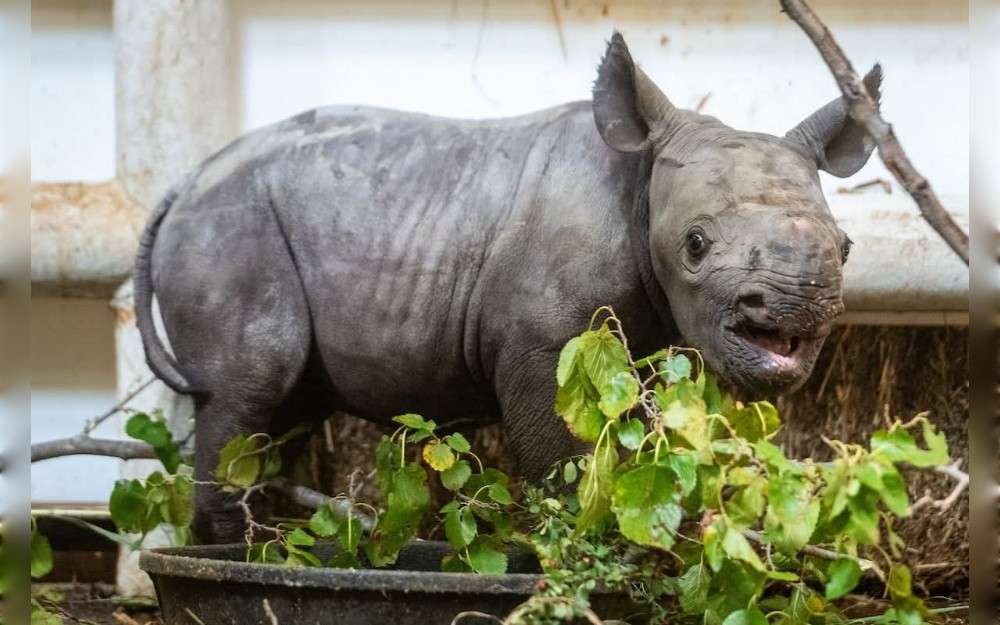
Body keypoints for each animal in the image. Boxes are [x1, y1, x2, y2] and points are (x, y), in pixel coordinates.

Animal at [135, 33, 880, 543]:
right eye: (695, 245)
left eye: (846, 249)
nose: (796, 306)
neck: (640, 185)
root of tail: (185, 182)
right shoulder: (537, 344)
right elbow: (559, 457)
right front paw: (571, 548)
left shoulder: (631, 349)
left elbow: (622, 441)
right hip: (231, 225)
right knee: (252, 384)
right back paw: (236, 551)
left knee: (286, 405)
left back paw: (284, 541)